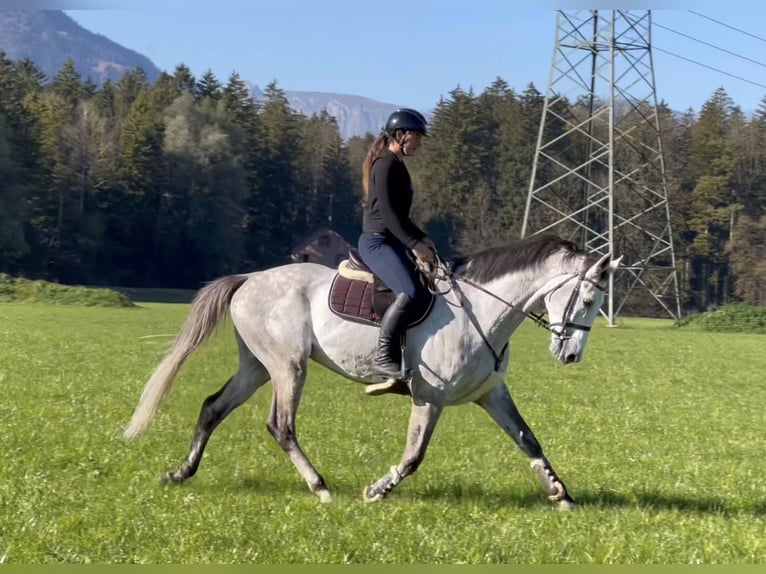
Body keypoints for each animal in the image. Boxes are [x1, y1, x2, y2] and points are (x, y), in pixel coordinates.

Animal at [123, 234, 620, 512]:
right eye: (588, 300)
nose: (570, 355)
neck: (480, 311)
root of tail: (250, 279)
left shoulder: (491, 394)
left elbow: (529, 440)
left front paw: (562, 495)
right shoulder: (429, 397)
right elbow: (414, 455)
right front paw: (377, 491)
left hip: (257, 366)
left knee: (212, 408)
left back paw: (181, 473)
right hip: (287, 366)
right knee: (281, 425)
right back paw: (320, 488)